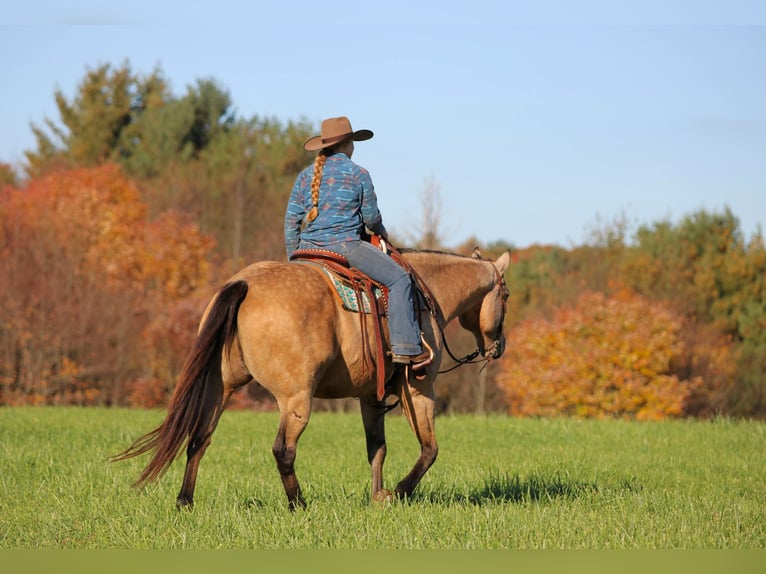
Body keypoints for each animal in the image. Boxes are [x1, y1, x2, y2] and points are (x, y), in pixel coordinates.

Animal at [112, 247, 511, 510]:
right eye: (505, 295)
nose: (498, 346)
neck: (424, 293)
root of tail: (244, 283)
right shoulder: (419, 388)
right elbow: (429, 449)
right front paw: (398, 492)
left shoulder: (370, 396)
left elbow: (377, 448)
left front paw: (376, 495)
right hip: (296, 399)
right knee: (282, 449)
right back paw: (299, 504)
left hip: (220, 387)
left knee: (199, 439)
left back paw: (185, 501)